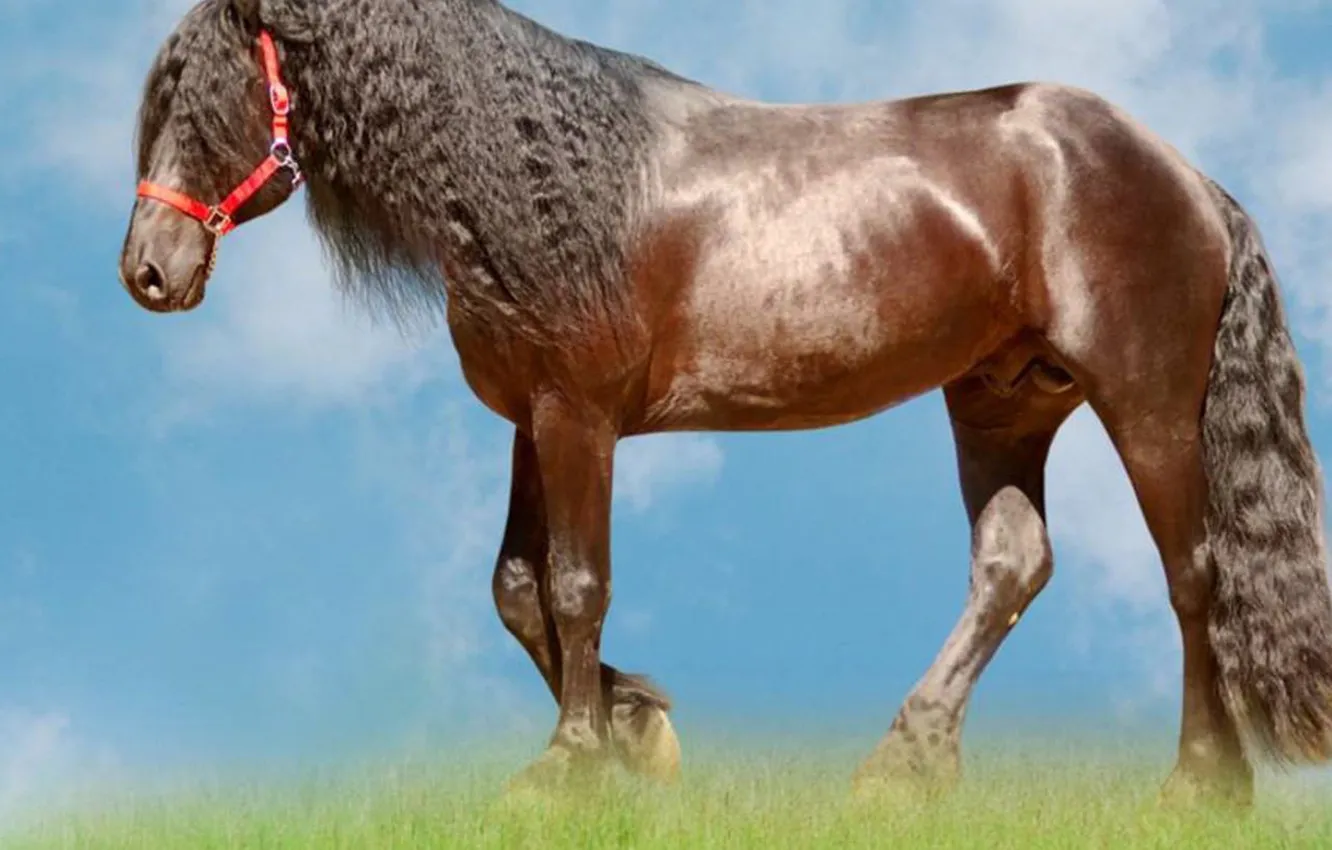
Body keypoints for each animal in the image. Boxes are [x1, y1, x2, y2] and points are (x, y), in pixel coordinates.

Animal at [117, 0, 1332, 807]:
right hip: (1002, 405)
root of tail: (1184, 174)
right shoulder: (533, 419)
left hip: (1147, 402)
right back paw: (905, 761)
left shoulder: (578, 417)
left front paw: (570, 764)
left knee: (1193, 576)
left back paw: (1201, 784)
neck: (550, 184)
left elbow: (575, 585)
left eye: (208, 94)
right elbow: (516, 591)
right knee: (1011, 567)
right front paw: (636, 729)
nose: (148, 271)